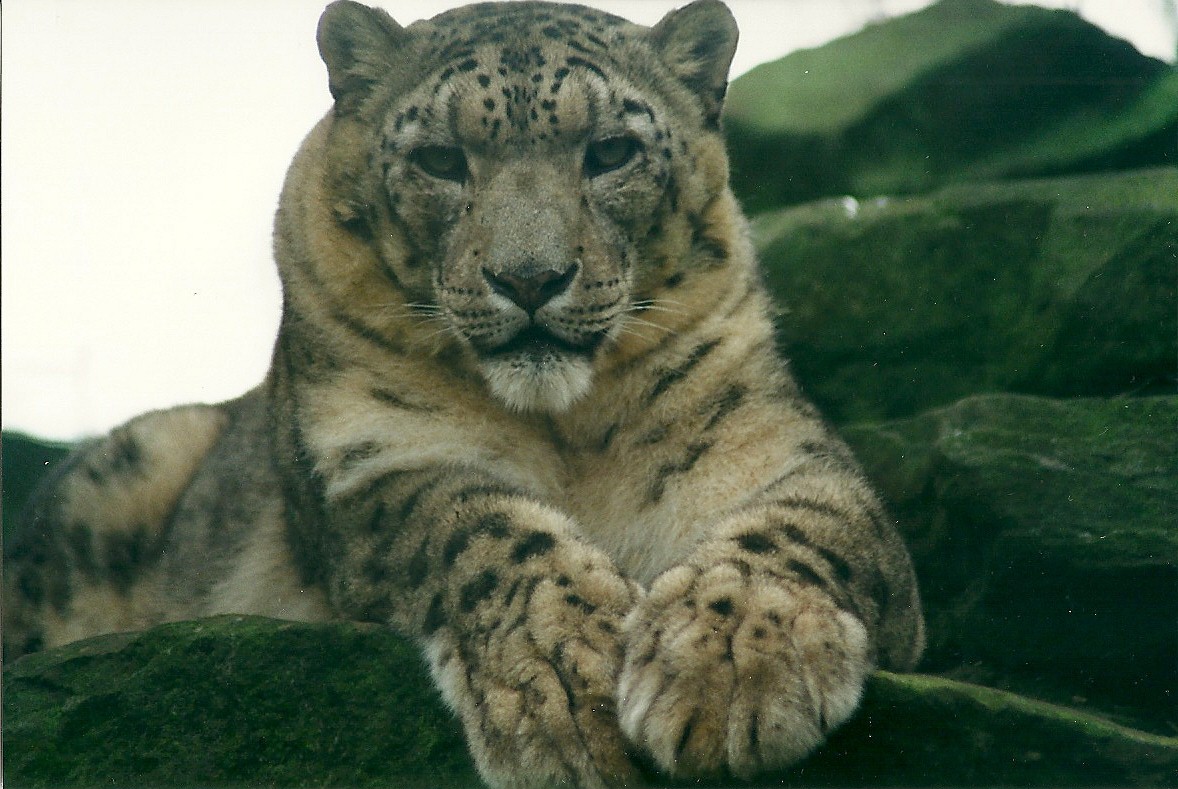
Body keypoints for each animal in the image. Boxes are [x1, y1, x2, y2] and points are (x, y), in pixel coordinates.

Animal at [3, 2, 925, 787]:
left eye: (611, 151)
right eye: (440, 161)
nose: (530, 278)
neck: (568, 428)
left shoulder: (765, 441)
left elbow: (808, 521)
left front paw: (729, 662)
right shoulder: (373, 459)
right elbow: (480, 525)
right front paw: (572, 681)